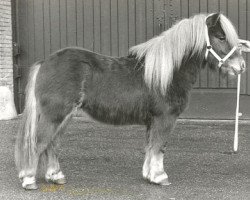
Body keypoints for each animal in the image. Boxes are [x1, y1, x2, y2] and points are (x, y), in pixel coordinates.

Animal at [15, 12, 250, 189]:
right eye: (220, 37)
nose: (241, 67)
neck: (167, 73)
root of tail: (45, 62)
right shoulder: (165, 119)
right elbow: (159, 147)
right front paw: (160, 177)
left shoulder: (152, 121)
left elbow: (150, 147)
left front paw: (149, 175)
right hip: (55, 115)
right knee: (39, 142)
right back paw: (29, 180)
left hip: (64, 117)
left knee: (52, 144)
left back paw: (56, 176)